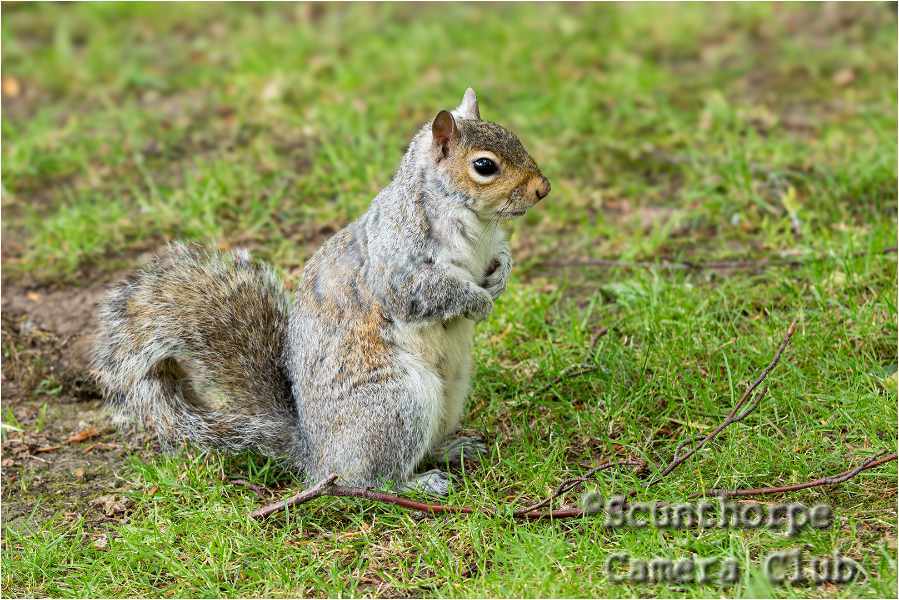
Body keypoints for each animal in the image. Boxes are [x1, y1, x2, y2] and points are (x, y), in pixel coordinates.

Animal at [91, 88, 550, 495]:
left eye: (513, 136)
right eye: (484, 166)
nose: (542, 188)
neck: (475, 223)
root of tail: (315, 454)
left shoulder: (491, 244)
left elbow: (502, 257)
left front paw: (499, 279)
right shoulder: (398, 261)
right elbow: (422, 293)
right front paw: (479, 301)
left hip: (449, 393)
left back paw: (454, 448)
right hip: (395, 405)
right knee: (367, 479)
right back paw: (417, 483)